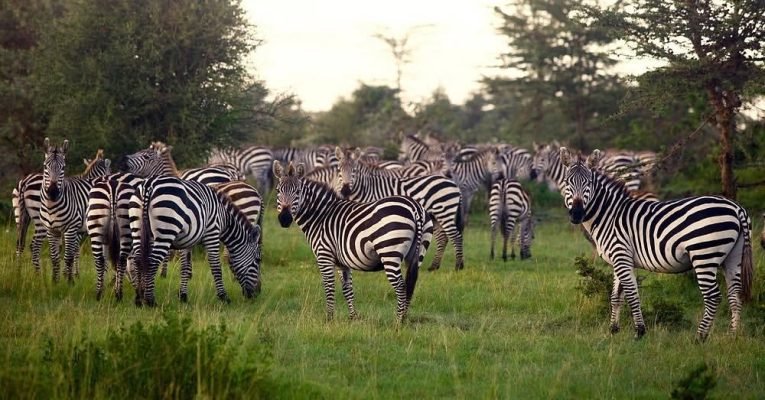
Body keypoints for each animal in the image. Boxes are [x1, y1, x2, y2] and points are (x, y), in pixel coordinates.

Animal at [41, 138, 111, 282]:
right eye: (45, 167)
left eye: (63, 167)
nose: (52, 192)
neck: (51, 206)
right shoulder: (52, 230)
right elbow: (55, 258)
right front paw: (55, 281)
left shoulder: (73, 229)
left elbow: (70, 256)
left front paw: (70, 280)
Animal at [130, 176, 262, 306]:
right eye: (258, 260)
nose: (257, 293)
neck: (224, 218)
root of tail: (149, 184)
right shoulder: (212, 233)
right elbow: (216, 267)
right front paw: (224, 297)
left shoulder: (186, 241)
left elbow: (185, 267)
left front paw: (183, 296)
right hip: (166, 230)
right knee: (152, 262)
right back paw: (150, 300)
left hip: (138, 229)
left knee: (138, 261)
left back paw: (139, 299)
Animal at [273, 161, 433, 323]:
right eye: (278, 191)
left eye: (298, 192)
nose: (284, 219)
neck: (320, 216)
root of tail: (415, 208)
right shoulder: (341, 262)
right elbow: (347, 289)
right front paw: (353, 318)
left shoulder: (324, 255)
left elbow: (329, 287)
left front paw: (329, 318)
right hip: (417, 253)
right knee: (410, 282)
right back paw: (405, 318)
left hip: (389, 251)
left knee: (401, 286)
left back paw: (398, 321)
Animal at [336, 150, 464, 271]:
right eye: (339, 170)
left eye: (354, 171)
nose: (345, 190)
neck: (366, 188)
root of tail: (454, 184)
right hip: (435, 215)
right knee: (442, 238)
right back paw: (434, 266)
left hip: (444, 212)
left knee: (456, 236)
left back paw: (458, 266)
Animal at [560, 147, 753, 341]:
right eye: (568, 182)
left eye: (588, 183)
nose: (576, 214)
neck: (609, 215)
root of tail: (737, 208)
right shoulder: (619, 259)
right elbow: (616, 296)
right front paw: (613, 330)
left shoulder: (621, 255)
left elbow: (632, 295)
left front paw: (639, 332)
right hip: (733, 256)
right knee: (735, 294)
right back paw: (733, 335)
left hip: (704, 255)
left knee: (713, 297)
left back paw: (700, 337)